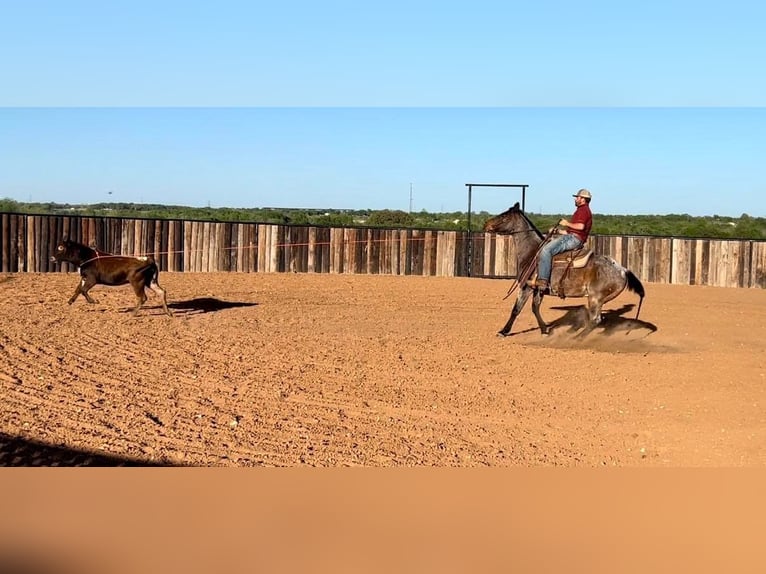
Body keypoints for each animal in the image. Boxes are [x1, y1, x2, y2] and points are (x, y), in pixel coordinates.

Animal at [484, 204, 644, 336]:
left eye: (504, 216)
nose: (486, 224)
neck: (533, 252)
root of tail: (622, 269)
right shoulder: (538, 288)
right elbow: (535, 308)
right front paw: (545, 330)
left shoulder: (526, 287)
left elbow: (516, 309)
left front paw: (503, 331)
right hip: (600, 300)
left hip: (595, 298)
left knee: (595, 320)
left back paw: (575, 338)